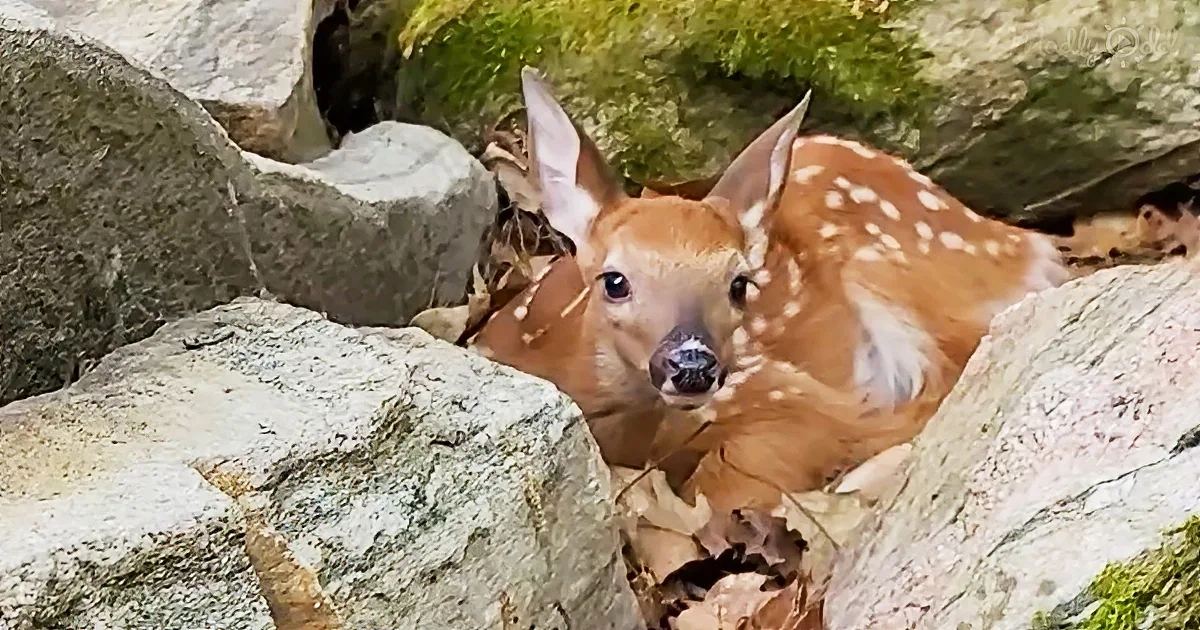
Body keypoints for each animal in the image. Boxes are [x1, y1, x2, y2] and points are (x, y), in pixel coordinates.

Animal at [468, 67, 1070, 512]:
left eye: (740, 284)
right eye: (614, 281)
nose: (693, 365)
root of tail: (1019, 238)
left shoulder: (780, 395)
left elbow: (735, 482)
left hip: (893, 276)